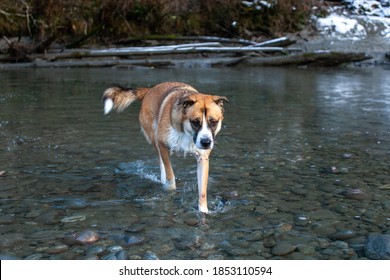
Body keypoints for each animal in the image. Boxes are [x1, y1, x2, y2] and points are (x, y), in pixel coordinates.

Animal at [102, 82, 227, 213]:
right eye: (195, 122)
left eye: (213, 122)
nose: (206, 142)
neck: (186, 132)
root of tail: (150, 90)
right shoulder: (162, 145)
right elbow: (169, 174)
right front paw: (169, 190)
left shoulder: (202, 158)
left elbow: (202, 190)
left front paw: (203, 211)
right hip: (154, 137)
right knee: (161, 162)